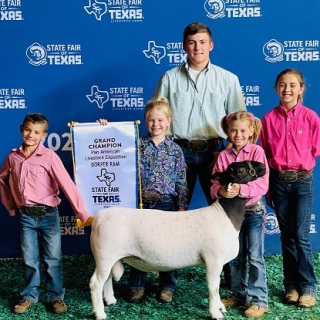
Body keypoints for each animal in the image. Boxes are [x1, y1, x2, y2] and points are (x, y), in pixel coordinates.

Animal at [89, 161, 266, 318]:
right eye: (241, 170)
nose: (263, 166)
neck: (225, 215)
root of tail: (99, 216)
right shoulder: (213, 259)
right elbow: (213, 287)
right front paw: (216, 313)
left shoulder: (219, 261)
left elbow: (216, 287)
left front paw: (221, 307)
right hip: (105, 256)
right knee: (96, 283)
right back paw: (100, 314)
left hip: (109, 257)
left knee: (107, 279)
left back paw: (110, 300)